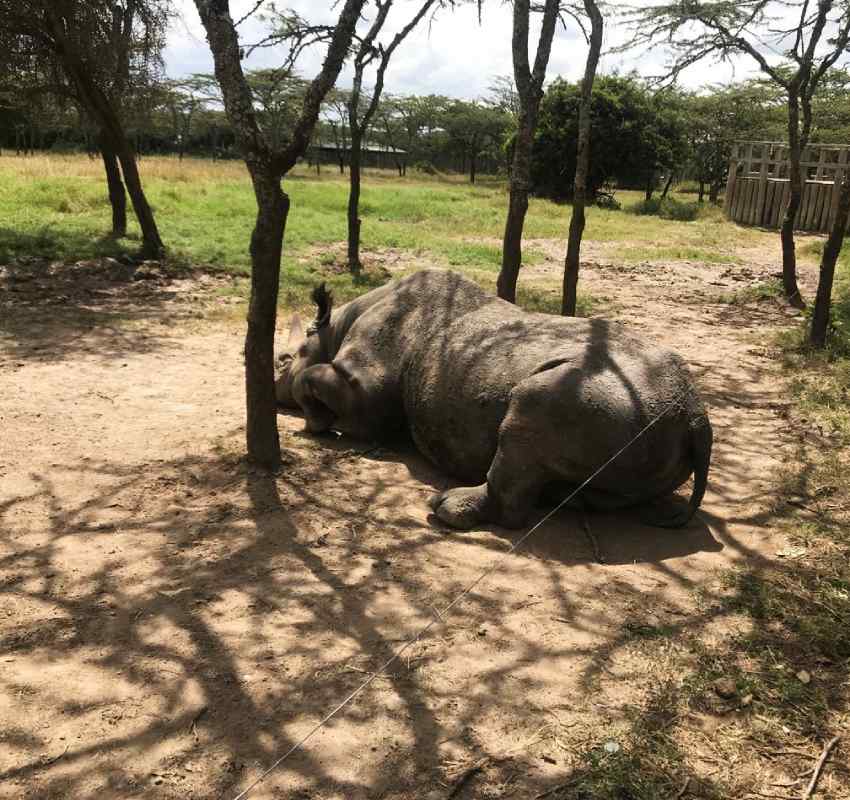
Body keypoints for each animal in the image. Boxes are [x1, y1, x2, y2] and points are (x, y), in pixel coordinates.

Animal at [275, 269, 712, 530]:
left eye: (284, 358)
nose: (275, 390)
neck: (335, 327)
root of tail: (696, 417)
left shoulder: (367, 389)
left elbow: (315, 379)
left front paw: (316, 422)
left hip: (602, 397)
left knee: (530, 408)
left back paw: (445, 507)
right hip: (639, 412)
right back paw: (565, 499)